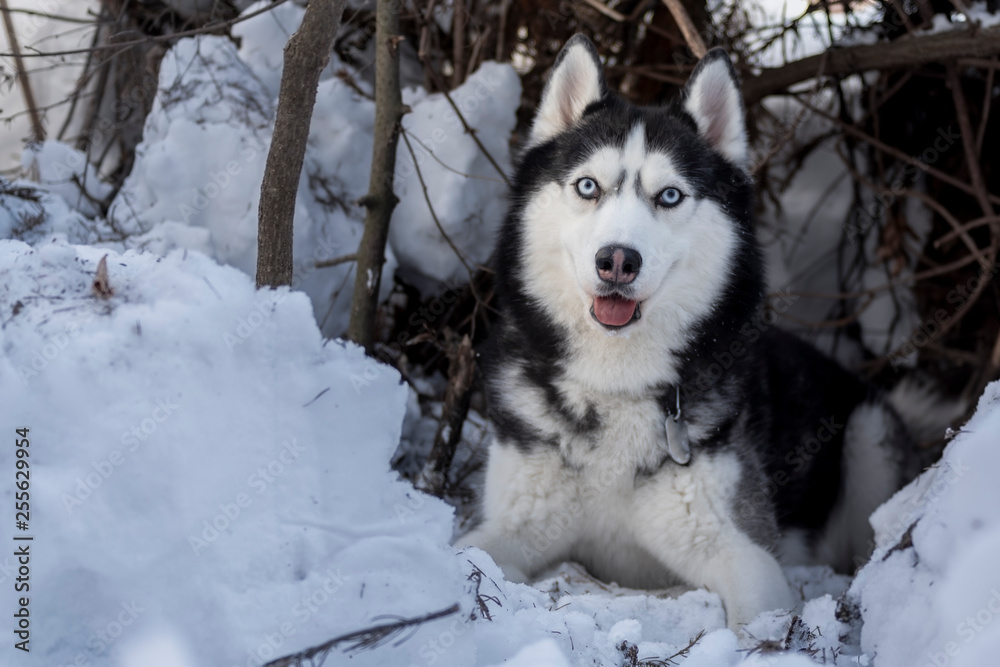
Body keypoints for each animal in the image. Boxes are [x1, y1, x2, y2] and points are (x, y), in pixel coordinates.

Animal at [458, 36, 924, 632]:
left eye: (670, 196)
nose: (617, 260)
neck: (617, 386)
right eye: (588, 186)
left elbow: (756, 618)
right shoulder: (509, 525)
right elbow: (468, 554)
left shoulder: (744, 551)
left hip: (868, 434)